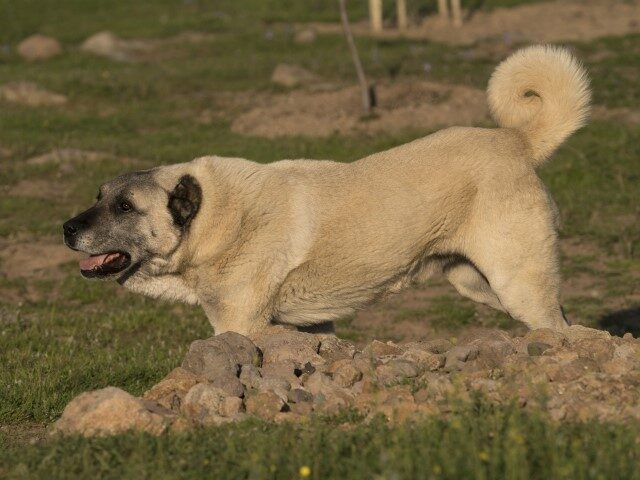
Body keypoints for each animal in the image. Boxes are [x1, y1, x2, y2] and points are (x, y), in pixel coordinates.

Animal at [63, 47, 592, 336]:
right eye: (98, 194)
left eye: (125, 206)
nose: (66, 228)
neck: (216, 219)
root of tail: (514, 140)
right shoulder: (311, 324)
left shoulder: (239, 325)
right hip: (481, 284)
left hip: (517, 284)